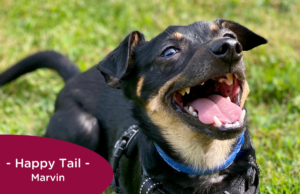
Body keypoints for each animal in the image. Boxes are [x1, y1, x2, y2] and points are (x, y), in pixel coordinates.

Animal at [0, 18, 268, 194]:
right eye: (169, 51)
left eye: (231, 37)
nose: (231, 48)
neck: (207, 164)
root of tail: (74, 79)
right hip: (83, 126)